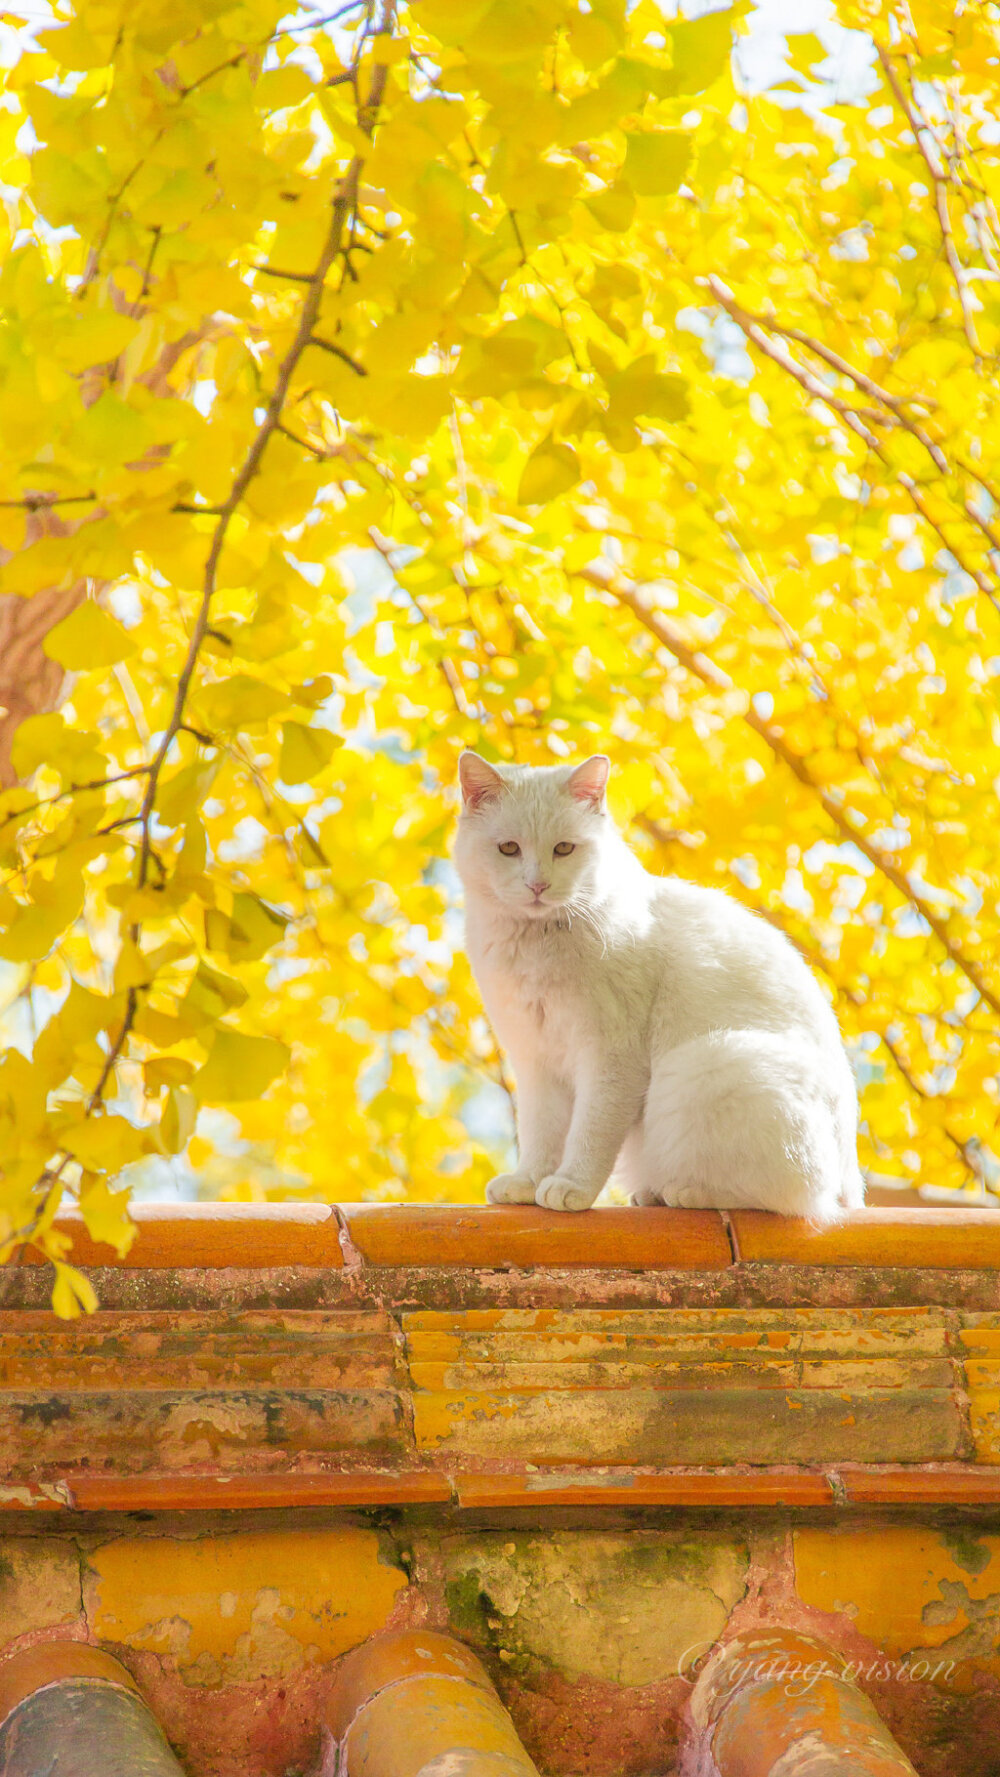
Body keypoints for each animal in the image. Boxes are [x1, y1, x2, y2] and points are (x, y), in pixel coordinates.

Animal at [458, 749, 863, 1222]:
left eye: (563, 848)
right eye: (509, 848)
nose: (537, 885)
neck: (535, 939)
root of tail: (851, 1181)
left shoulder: (611, 1057)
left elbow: (590, 1134)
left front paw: (571, 1188)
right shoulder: (536, 1062)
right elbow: (542, 1133)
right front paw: (527, 1183)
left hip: (710, 1064)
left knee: (791, 1199)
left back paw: (683, 1193)